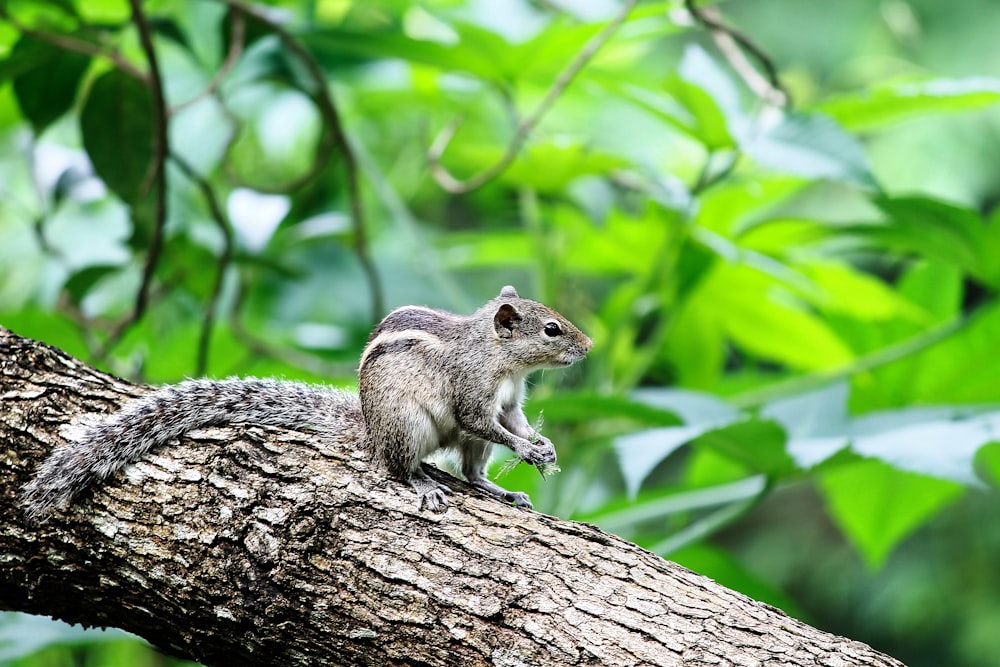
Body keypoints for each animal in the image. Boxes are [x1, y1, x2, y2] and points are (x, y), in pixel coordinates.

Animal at [19, 284, 588, 520]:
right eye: (552, 328)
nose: (588, 345)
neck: (502, 358)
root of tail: (370, 430)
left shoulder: (509, 401)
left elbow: (511, 423)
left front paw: (542, 445)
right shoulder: (473, 392)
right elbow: (483, 420)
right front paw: (531, 450)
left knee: (472, 471)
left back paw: (501, 490)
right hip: (405, 425)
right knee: (399, 467)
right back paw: (424, 483)